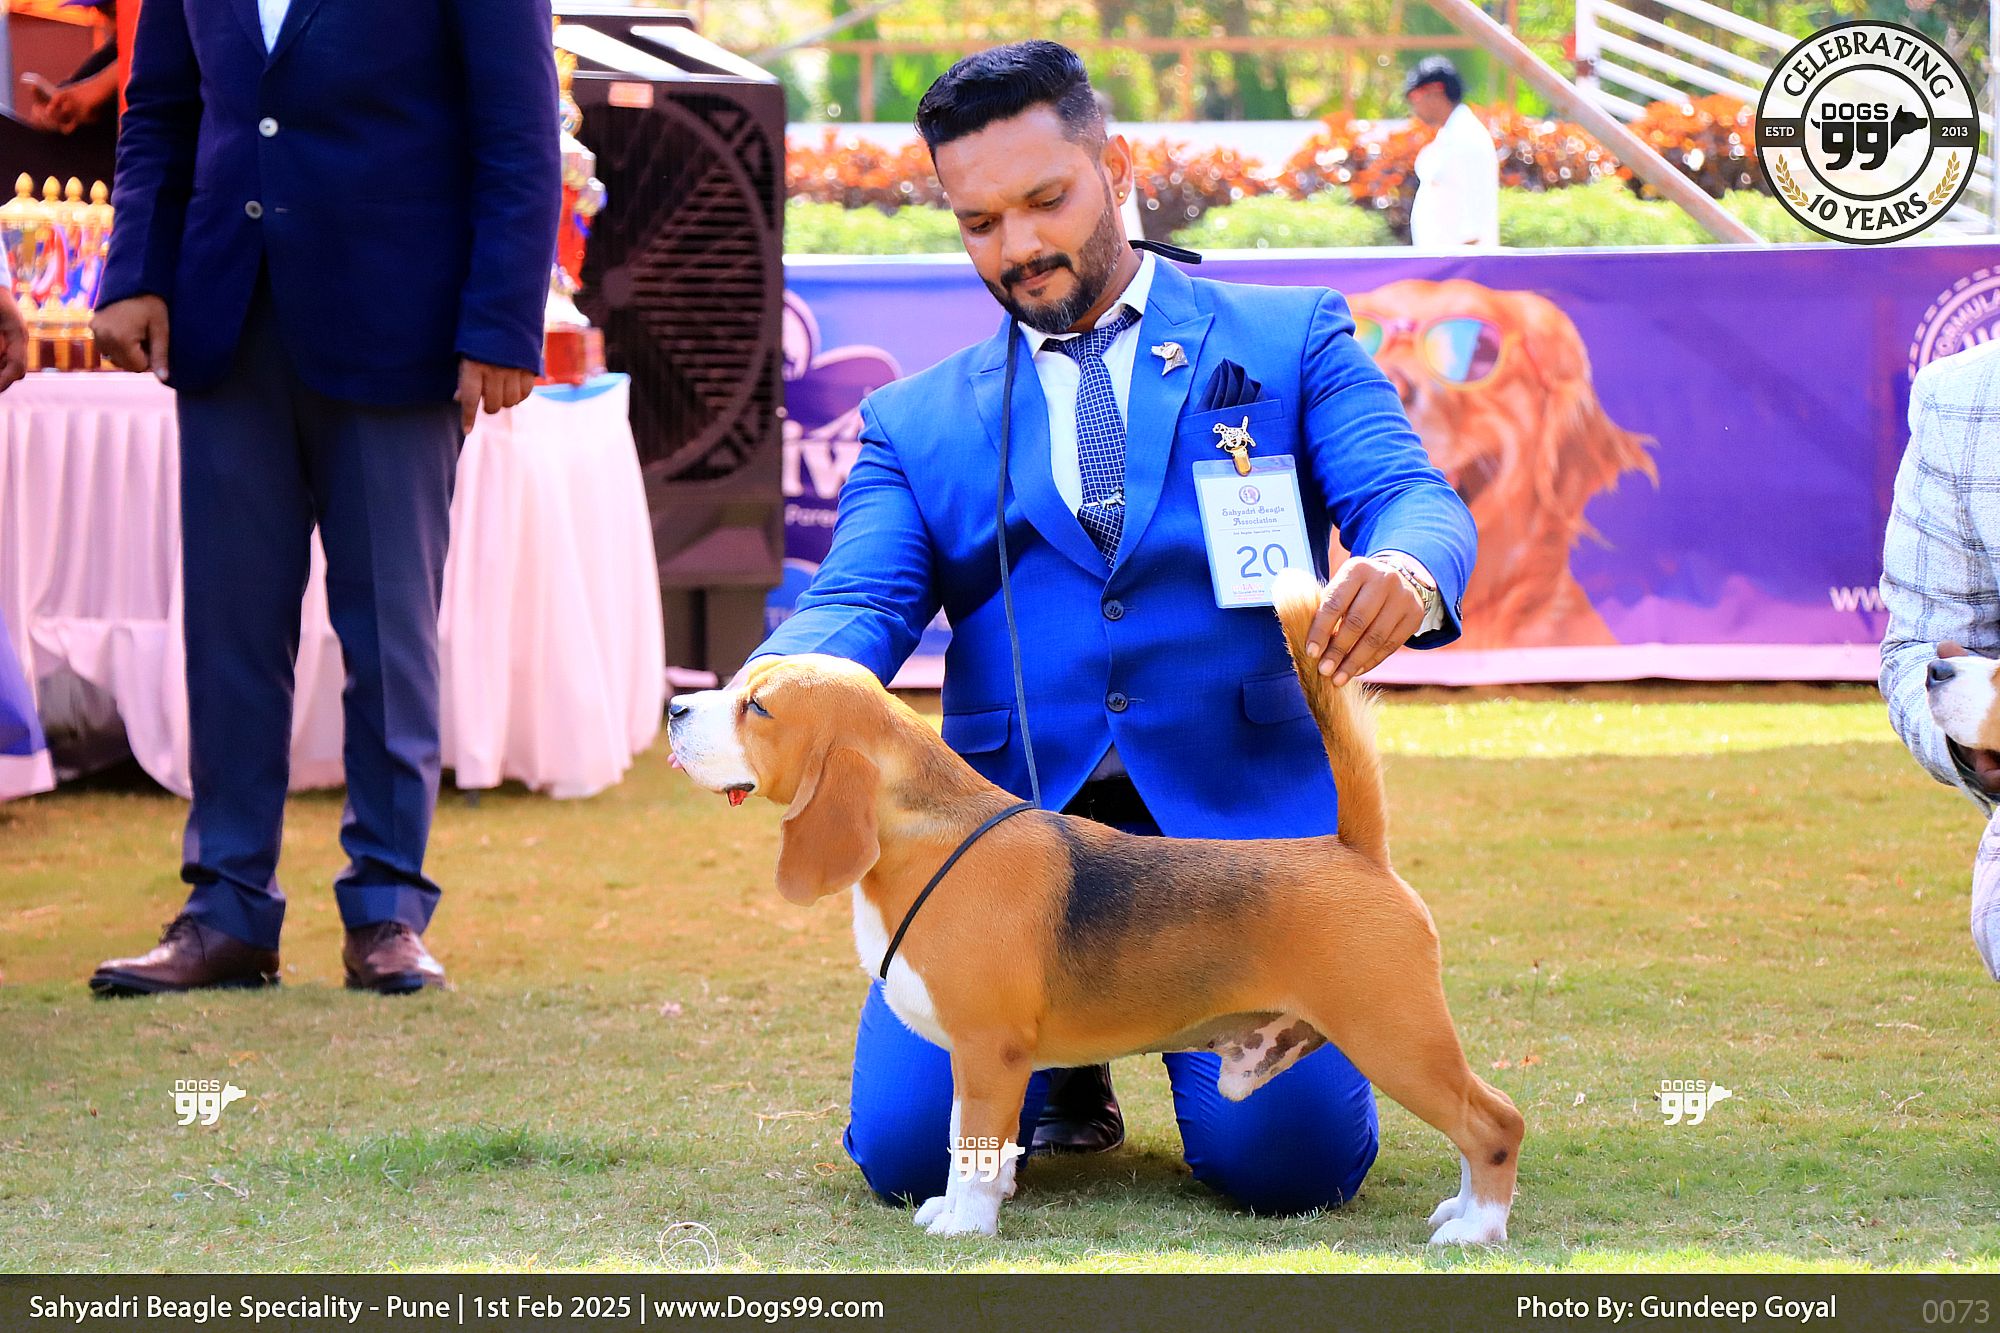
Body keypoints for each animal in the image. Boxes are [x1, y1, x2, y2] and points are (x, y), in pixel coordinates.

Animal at [668, 569, 1524, 1242]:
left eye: (758, 708)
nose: (675, 708)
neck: (925, 829)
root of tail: (1353, 848)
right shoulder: (978, 1059)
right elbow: (966, 1141)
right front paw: (961, 1204)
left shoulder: (988, 1049)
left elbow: (973, 1144)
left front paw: (966, 1223)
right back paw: (1462, 1210)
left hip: (1396, 1036)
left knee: (1494, 1121)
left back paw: (1477, 1226)